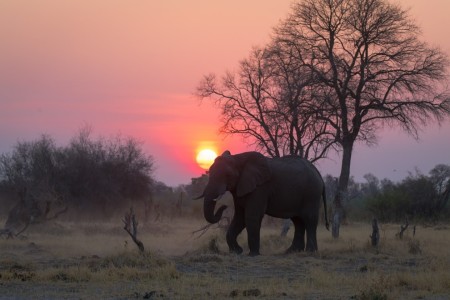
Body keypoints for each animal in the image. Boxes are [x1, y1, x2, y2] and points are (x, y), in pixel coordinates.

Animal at [199, 150, 328, 255]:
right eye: (210, 171)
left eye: (228, 175)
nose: (224, 206)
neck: (238, 158)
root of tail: (319, 175)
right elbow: (240, 217)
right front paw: (237, 251)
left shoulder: (260, 188)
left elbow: (251, 216)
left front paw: (252, 254)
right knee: (298, 221)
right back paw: (291, 252)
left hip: (311, 193)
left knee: (309, 219)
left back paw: (310, 252)